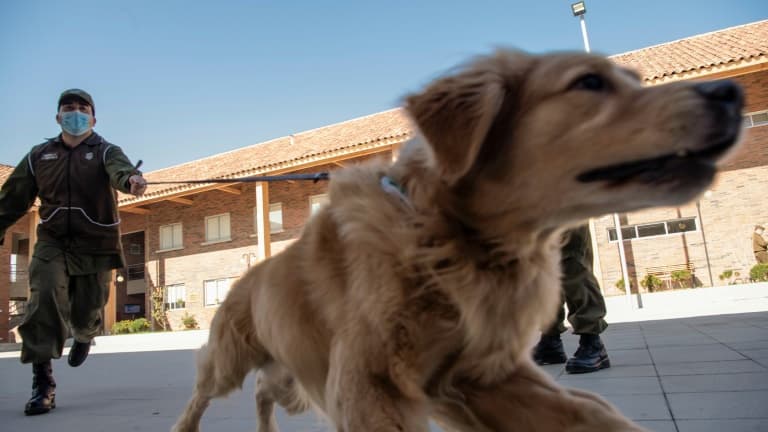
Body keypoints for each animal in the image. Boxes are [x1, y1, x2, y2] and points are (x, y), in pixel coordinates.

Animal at [171, 50, 740, 432]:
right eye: (589, 82)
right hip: (228, 358)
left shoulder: (479, 375)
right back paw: (185, 425)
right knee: (202, 392)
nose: (731, 93)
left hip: (286, 375)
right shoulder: (369, 384)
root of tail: (248, 275)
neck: (447, 240)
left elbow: (591, 413)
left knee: (264, 391)